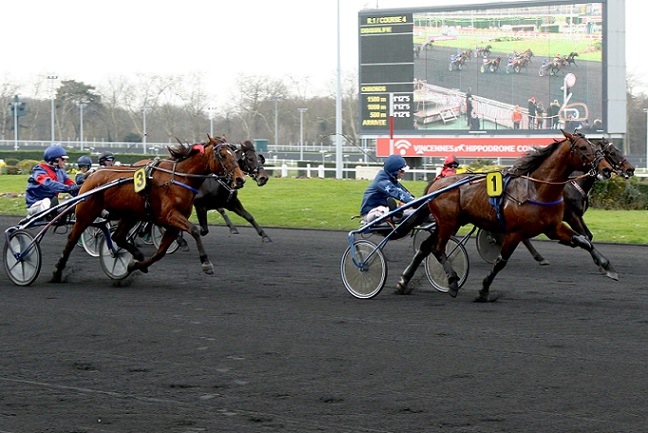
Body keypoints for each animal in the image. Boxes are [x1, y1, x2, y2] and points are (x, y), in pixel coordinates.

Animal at [51, 136, 246, 284]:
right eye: (223, 155)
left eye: (234, 154)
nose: (240, 179)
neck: (178, 178)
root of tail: (92, 174)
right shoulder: (170, 215)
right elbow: (195, 230)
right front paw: (206, 264)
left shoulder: (172, 222)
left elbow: (160, 253)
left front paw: (138, 265)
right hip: (86, 213)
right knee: (72, 239)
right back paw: (57, 271)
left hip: (130, 215)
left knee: (117, 237)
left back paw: (134, 254)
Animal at [398, 130, 616, 302]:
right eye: (583, 147)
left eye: (597, 148)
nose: (607, 169)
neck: (536, 189)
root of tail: (435, 185)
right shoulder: (515, 232)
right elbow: (501, 261)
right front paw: (484, 290)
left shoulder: (553, 228)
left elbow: (583, 240)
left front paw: (607, 267)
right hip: (448, 223)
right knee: (437, 248)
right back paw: (451, 282)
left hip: (449, 223)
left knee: (425, 247)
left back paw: (403, 282)